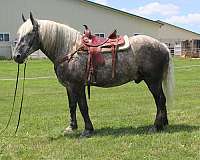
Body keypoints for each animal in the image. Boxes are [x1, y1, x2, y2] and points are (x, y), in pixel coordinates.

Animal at [13, 13, 173, 137]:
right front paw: (71, 127)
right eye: (19, 35)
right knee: (162, 100)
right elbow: (72, 105)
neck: (69, 50)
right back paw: (163, 124)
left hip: (152, 81)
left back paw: (156, 126)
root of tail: (163, 46)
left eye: (30, 34)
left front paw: (87, 130)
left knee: (159, 100)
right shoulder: (71, 87)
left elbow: (82, 106)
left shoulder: (77, 86)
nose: (17, 56)